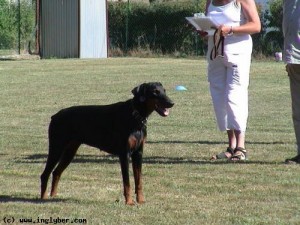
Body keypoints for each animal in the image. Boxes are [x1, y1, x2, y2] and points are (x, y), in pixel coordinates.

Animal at [39, 81, 173, 205]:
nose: (172, 103)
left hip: (70, 151)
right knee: (45, 174)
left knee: (56, 172)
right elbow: (127, 182)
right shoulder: (124, 154)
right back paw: (43, 198)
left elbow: (139, 180)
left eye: (164, 91)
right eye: (155, 92)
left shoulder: (138, 153)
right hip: (56, 147)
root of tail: (55, 116)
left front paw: (140, 200)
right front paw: (129, 202)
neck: (136, 116)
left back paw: (53, 196)